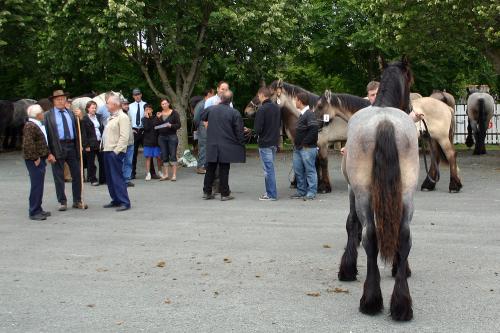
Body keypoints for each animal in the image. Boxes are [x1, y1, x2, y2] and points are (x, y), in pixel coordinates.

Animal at [336, 56, 418, 320]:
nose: (411, 108)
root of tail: (384, 122)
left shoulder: (352, 190)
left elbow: (351, 224)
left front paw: (347, 268)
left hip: (363, 194)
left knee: (369, 235)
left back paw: (370, 300)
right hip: (406, 194)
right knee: (404, 235)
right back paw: (402, 304)